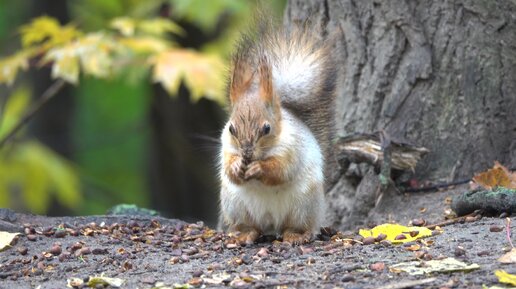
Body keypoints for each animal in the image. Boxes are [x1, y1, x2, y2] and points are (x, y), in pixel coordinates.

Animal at [217, 16, 334, 244]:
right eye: (232, 128)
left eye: (267, 128)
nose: (246, 153)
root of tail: (271, 223)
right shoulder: (226, 147)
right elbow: (229, 168)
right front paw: (237, 166)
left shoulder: (292, 149)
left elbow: (280, 170)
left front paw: (257, 168)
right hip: (235, 206)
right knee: (252, 227)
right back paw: (244, 234)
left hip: (303, 206)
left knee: (296, 226)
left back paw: (296, 235)